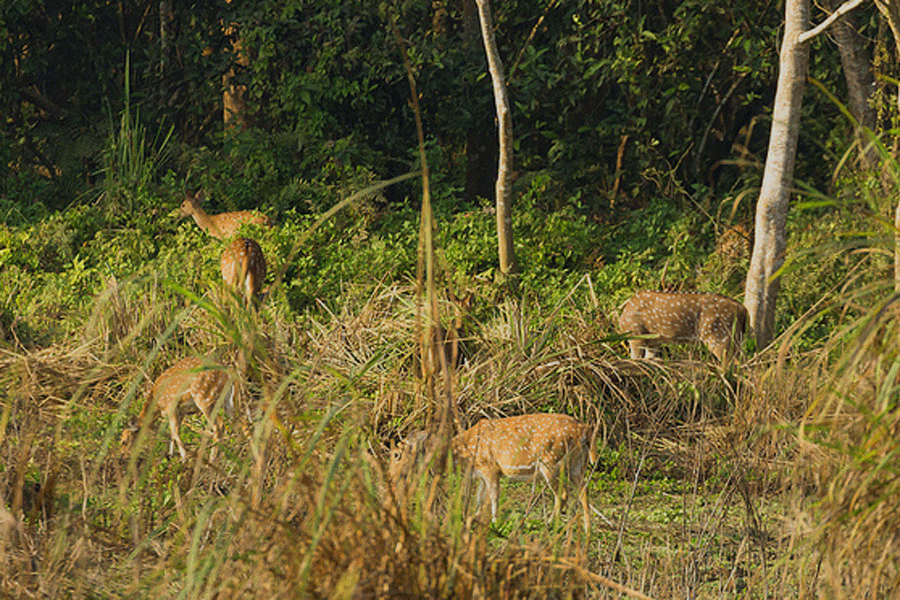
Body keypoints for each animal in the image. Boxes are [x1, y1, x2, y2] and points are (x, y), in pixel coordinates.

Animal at [390, 412, 596, 536]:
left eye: (397, 455)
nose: (391, 476)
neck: (463, 453)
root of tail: (584, 430)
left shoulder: (491, 467)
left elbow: (494, 497)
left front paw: (495, 524)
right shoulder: (480, 473)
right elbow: (479, 499)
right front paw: (473, 518)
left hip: (551, 461)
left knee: (563, 494)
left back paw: (550, 524)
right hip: (578, 464)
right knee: (583, 491)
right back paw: (587, 529)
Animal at [616, 290, 748, 364]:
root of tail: (742, 309)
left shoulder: (635, 334)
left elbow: (634, 360)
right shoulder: (653, 342)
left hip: (718, 334)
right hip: (736, 337)